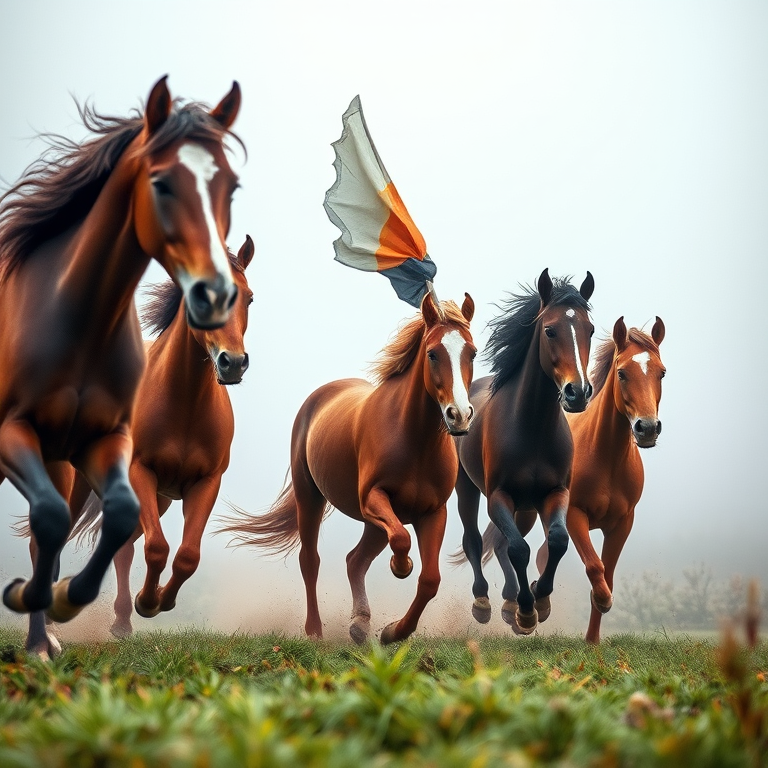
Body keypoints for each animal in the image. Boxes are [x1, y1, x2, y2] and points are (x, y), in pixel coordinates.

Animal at [0, 76, 242, 626]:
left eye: (252, 297)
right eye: (161, 183)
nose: (233, 362)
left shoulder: (205, 482)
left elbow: (185, 553)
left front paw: (160, 600)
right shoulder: (138, 471)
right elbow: (153, 546)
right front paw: (147, 602)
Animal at [220, 291, 476, 644]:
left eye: (472, 352)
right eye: (433, 353)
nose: (459, 416)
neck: (414, 441)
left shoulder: (433, 513)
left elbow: (429, 580)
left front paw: (393, 632)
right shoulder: (373, 500)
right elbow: (401, 541)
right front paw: (400, 567)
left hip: (373, 522)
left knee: (355, 560)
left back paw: (360, 625)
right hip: (311, 497)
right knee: (310, 560)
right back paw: (315, 631)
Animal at [453, 269, 594, 635]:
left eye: (589, 329)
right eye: (550, 330)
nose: (577, 393)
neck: (531, 428)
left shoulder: (555, 493)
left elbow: (557, 540)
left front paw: (538, 601)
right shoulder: (498, 496)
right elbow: (518, 548)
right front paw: (527, 611)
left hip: (527, 507)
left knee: (501, 543)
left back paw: (509, 600)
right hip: (466, 488)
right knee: (475, 540)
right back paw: (485, 602)